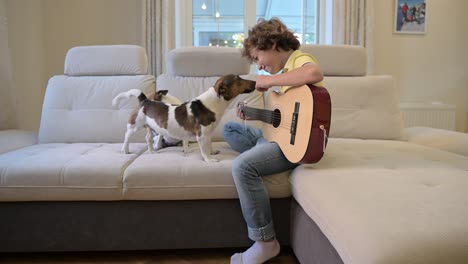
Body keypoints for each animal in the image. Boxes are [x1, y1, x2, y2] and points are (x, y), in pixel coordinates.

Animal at [112, 73, 256, 162]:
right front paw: (209, 160)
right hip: (134, 126)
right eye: (238, 79)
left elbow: (209, 145)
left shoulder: (208, 134)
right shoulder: (202, 135)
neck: (212, 103)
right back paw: (125, 150)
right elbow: (204, 150)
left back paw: (152, 151)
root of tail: (145, 100)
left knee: (148, 138)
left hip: (149, 127)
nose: (255, 82)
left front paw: (212, 152)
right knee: (127, 137)